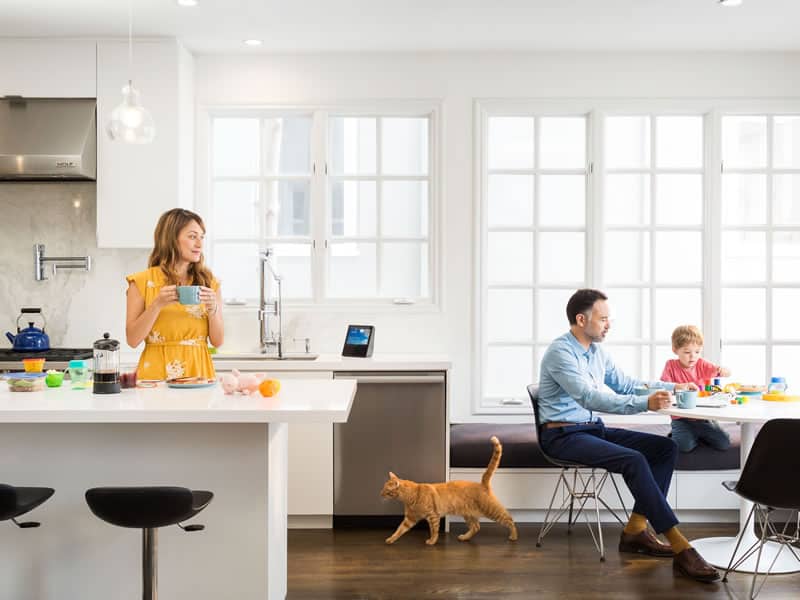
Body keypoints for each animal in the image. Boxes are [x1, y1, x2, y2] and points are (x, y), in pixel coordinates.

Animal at [382, 436, 520, 544]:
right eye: (383, 489)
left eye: (386, 491)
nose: (380, 494)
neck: (413, 494)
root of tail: (482, 483)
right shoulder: (410, 519)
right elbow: (399, 529)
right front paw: (391, 539)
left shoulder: (433, 516)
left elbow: (434, 530)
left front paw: (432, 541)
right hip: (469, 514)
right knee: (476, 527)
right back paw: (465, 537)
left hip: (491, 510)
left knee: (509, 519)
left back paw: (514, 536)